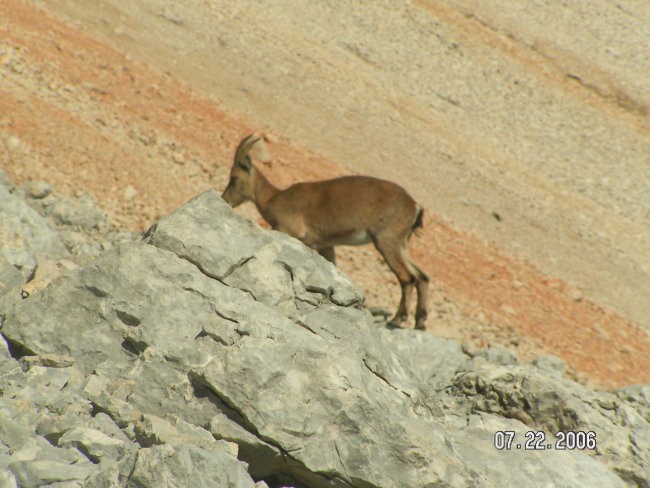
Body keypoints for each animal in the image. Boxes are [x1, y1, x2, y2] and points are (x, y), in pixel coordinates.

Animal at [220, 134, 428, 328]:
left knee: (408, 277)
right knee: (422, 276)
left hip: (386, 240)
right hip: (401, 243)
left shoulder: (288, 230)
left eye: (234, 178)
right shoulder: (325, 245)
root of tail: (415, 207)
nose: (225, 199)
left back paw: (398, 319)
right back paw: (420, 322)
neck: (275, 199)